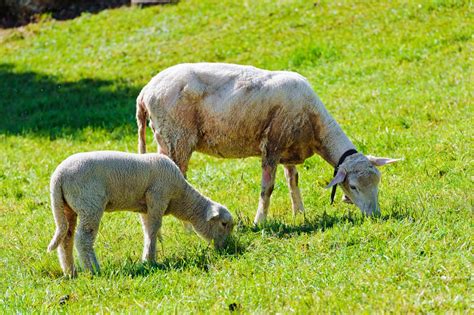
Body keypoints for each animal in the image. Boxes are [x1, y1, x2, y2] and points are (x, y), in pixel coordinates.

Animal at [47, 152, 233, 278]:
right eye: (223, 224)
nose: (226, 248)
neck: (180, 197)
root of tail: (58, 177)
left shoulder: (145, 208)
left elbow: (147, 229)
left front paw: (147, 258)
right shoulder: (158, 196)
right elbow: (154, 229)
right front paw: (150, 261)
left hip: (67, 207)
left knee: (66, 238)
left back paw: (70, 272)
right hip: (89, 203)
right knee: (83, 239)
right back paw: (93, 270)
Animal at [137, 62, 400, 225]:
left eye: (377, 183)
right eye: (353, 187)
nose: (375, 215)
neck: (315, 125)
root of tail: (145, 91)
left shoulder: (288, 147)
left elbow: (293, 181)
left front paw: (300, 214)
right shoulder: (272, 144)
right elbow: (268, 188)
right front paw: (259, 221)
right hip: (176, 138)